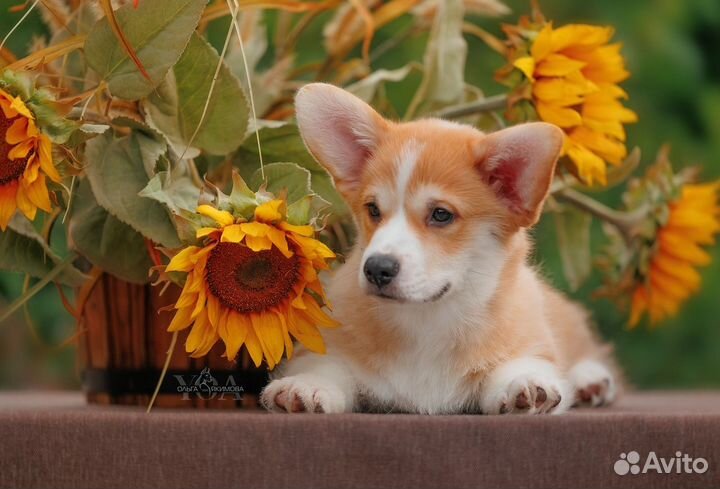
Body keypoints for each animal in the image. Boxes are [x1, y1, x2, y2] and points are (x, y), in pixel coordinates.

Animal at [260, 85, 620, 416]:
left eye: (441, 214)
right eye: (373, 209)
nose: (376, 269)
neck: (426, 320)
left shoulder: (531, 342)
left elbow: (524, 364)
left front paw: (526, 385)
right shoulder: (330, 346)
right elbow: (326, 367)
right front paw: (304, 387)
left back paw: (591, 381)